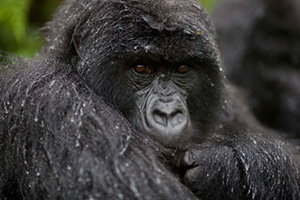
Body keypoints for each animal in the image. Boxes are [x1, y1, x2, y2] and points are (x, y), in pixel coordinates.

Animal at [0, 0, 298, 200]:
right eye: (141, 68)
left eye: (182, 69)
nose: (168, 114)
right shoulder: (55, 99)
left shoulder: (229, 103)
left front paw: (227, 167)